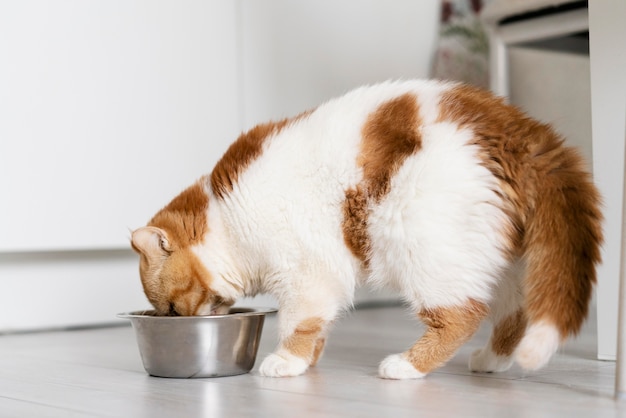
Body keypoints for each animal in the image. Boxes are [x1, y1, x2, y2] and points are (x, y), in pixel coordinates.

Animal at [130, 79, 600, 378]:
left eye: (171, 309)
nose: (180, 321)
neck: (230, 219)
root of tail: (519, 129)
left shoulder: (305, 273)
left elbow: (297, 323)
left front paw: (287, 361)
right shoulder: (321, 279)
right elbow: (318, 325)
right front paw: (309, 360)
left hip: (423, 248)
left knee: (462, 315)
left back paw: (407, 366)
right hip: (501, 261)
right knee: (515, 313)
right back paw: (492, 360)